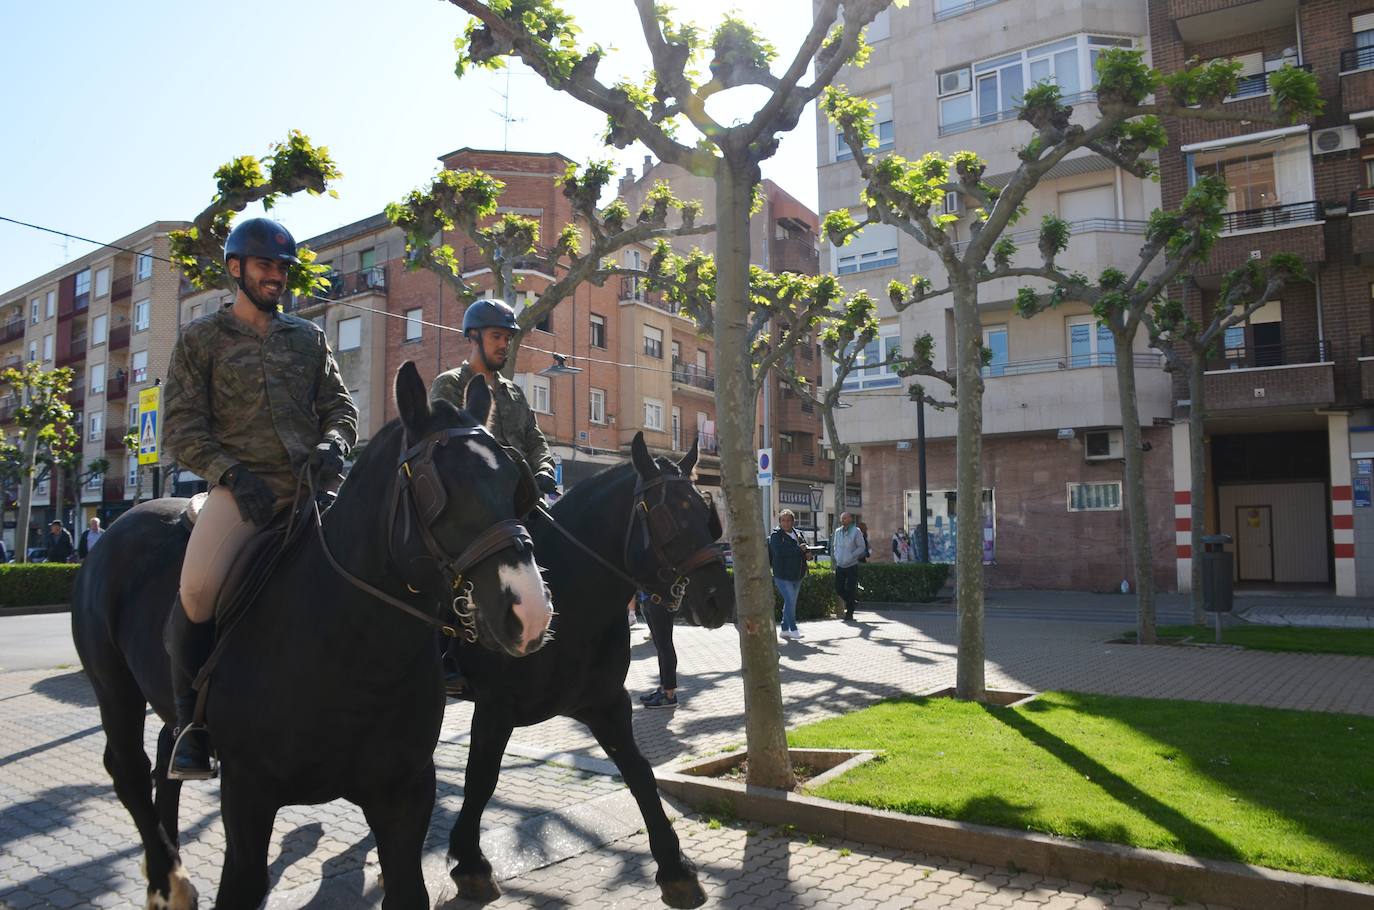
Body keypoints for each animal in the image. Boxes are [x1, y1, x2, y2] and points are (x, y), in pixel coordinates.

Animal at [71, 365, 552, 910]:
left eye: (516, 482)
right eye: (440, 485)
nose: (529, 611)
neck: (350, 650)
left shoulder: (404, 792)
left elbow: (408, 885)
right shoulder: (247, 795)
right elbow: (242, 884)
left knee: (164, 753)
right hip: (114, 688)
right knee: (128, 769)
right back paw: (163, 875)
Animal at [447, 434, 730, 910]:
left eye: (707, 514)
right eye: (669, 515)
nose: (718, 598)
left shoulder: (606, 705)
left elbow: (640, 774)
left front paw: (675, 868)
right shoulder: (494, 711)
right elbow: (480, 781)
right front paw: (470, 863)